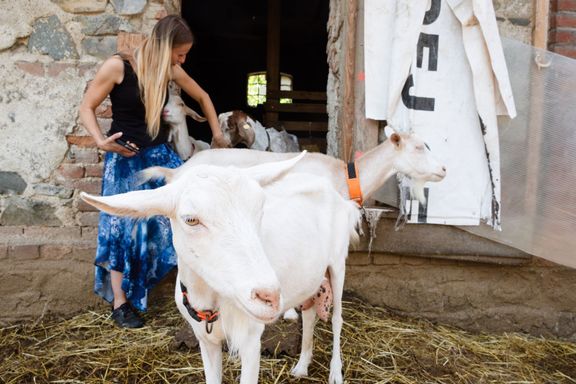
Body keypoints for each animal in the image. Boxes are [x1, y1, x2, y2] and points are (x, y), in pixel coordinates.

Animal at [81, 153, 360, 384]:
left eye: (259, 208)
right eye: (191, 219)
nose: (269, 296)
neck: (211, 302)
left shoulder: (251, 339)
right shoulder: (205, 341)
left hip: (337, 262)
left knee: (337, 318)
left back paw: (336, 373)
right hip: (309, 276)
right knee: (310, 313)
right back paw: (302, 366)